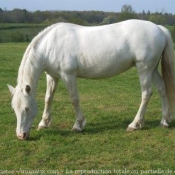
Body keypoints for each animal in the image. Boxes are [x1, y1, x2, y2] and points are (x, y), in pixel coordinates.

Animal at [7, 19, 175, 139]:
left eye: (26, 108)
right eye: (14, 109)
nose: (21, 135)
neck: (51, 45)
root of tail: (158, 28)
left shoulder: (68, 75)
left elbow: (74, 99)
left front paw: (78, 125)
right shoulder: (52, 76)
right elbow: (48, 98)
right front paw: (44, 123)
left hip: (144, 69)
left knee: (146, 93)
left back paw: (135, 124)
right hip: (152, 69)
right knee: (162, 89)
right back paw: (164, 121)